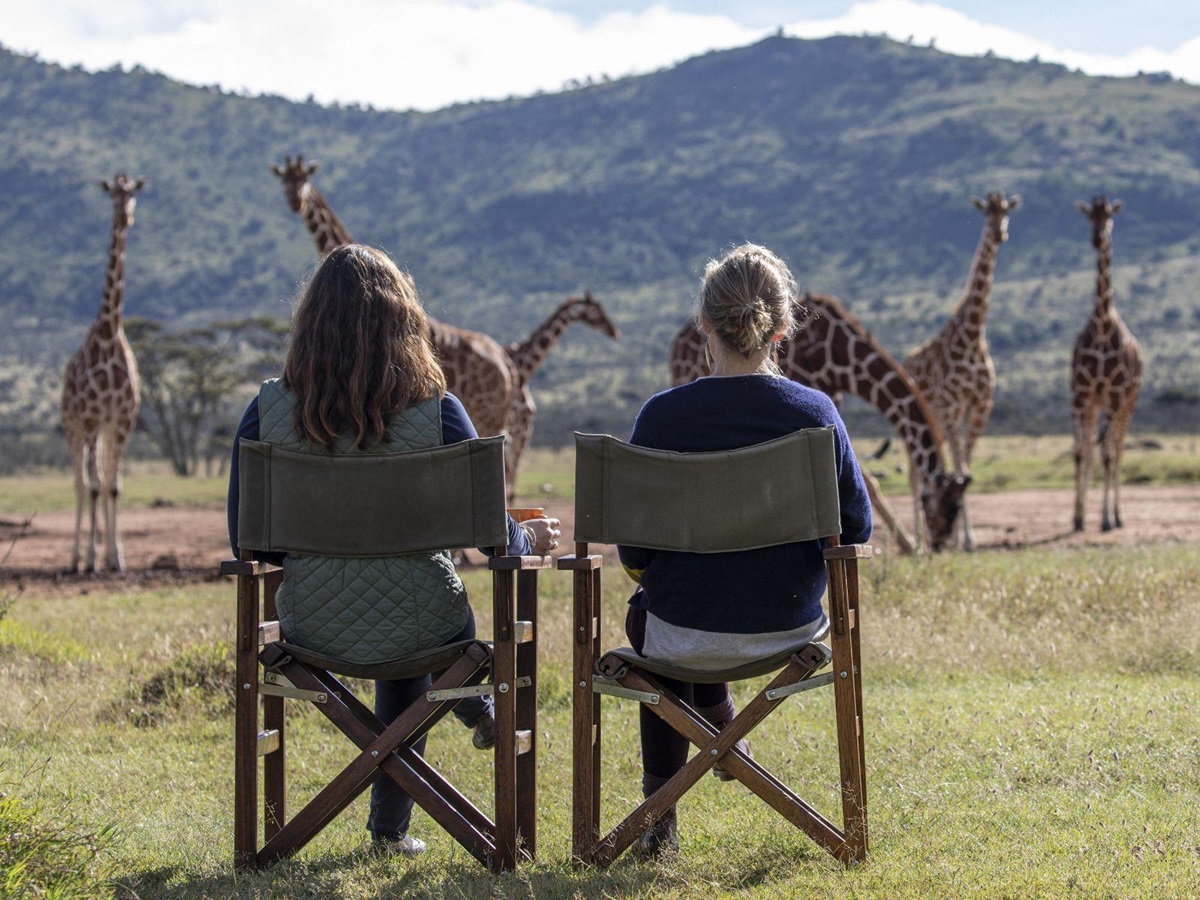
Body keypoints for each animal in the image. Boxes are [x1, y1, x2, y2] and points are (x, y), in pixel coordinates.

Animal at [669, 294, 968, 551]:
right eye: (943, 506)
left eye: (956, 506)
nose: (939, 545)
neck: (841, 355)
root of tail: (676, 345)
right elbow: (864, 480)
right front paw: (909, 546)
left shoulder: (831, 400)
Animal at [903, 191, 1021, 550]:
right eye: (987, 213)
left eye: (1007, 212)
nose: (1000, 233)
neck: (972, 336)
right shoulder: (953, 407)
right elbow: (959, 465)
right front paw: (961, 538)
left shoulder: (979, 407)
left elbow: (964, 467)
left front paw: (965, 537)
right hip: (923, 419)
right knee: (914, 475)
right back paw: (917, 541)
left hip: (937, 425)